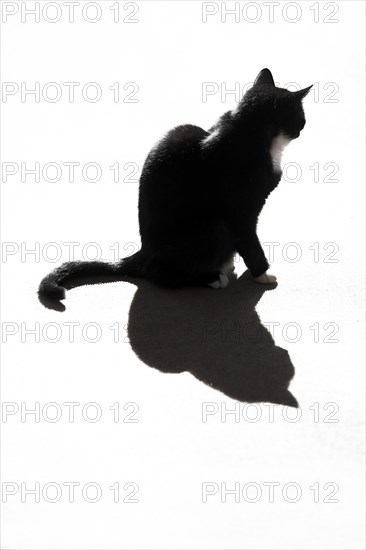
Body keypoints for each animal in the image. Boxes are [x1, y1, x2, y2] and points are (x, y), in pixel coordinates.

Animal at [38, 69, 312, 306]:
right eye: (300, 116)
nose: (303, 127)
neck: (247, 131)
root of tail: (142, 254)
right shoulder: (241, 212)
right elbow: (250, 243)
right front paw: (262, 274)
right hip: (210, 226)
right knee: (160, 275)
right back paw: (211, 277)